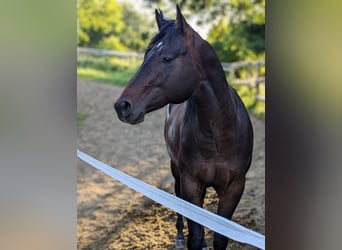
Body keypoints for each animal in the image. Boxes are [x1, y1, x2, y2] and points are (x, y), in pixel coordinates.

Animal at [115, 5, 254, 250]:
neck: (219, 133)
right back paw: (179, 235)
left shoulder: (235, 187)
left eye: (166, 57)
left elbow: (220, 237)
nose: (122, 106)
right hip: (176, 169)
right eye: (146, 56)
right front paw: (189, 238)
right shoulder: (191, 183)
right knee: (178, 197)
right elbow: (195, 236)